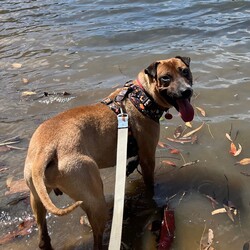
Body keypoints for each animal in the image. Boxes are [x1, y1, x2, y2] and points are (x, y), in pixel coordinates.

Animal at [23, 55, 194, 249]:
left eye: (185, 71)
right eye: (165, 78)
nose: (186, 91)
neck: (142, 97)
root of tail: (46, 149)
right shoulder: (148, 158)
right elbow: (150, 184)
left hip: (36, 199)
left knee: (43, 236)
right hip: (95, 200)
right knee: (97, 239)